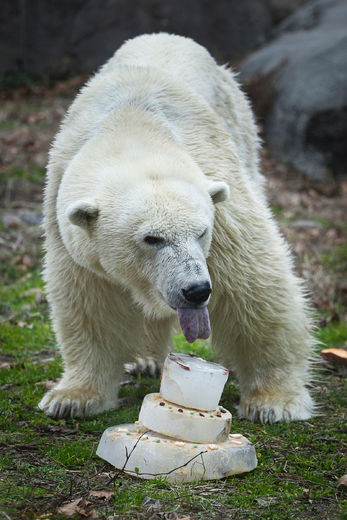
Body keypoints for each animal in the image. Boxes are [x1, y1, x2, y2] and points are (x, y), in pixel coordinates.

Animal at [38, 32, 316, 422]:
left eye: (201, 232)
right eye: (151, 238)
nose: (196, 290)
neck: (132, 123)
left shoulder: (218, 192)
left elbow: (251, 284)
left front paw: (275, 401)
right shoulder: (63, 215)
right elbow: (90, 299)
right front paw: (73, 398)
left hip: (240, 123)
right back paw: (144, 359)